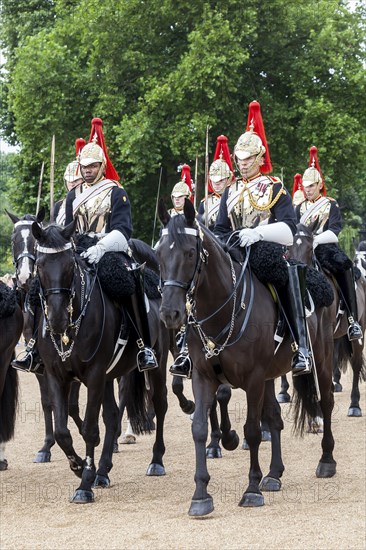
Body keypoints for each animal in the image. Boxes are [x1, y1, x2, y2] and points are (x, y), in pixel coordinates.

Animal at [31, 222, 169, 506]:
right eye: (39, 264)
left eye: (70, 264)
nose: (58, 320)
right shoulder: (56, 376)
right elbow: (63, 431)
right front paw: (77, 466)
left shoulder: (94, 375)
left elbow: (90, 430)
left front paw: (84, 484)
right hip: (107, 376)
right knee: (113, 415)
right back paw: (103, 471)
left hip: (157, 363)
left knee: (160, 404)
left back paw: (156, 461)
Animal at [157, 201, 338, 520]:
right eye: (159, 254)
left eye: (190, 252)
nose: (170, 313)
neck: (223, 307)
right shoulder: (203, 376)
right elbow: (199, 429)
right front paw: (201, 495)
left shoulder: (253, 378)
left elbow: (252, 431)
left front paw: (251, 489)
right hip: (270, 376)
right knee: (275, 418)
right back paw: (274, 474)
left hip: (322, 359)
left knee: (325, 401)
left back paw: (326, 460)